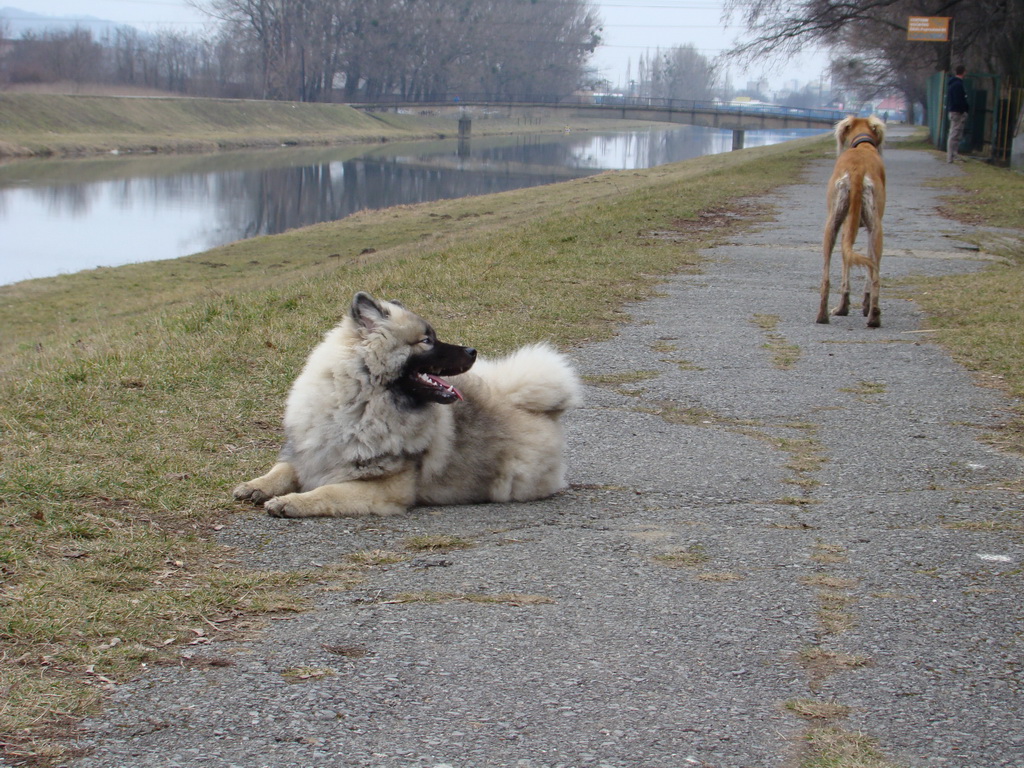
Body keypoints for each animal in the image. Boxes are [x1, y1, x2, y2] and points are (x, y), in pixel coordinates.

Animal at [819, 115, 884, 327]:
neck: (862, 145)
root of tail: (858, 170)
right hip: (873, 229)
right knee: (874, 275)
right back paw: (872, 315)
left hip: (832, 227)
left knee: (827, 278)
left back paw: (825, 314)